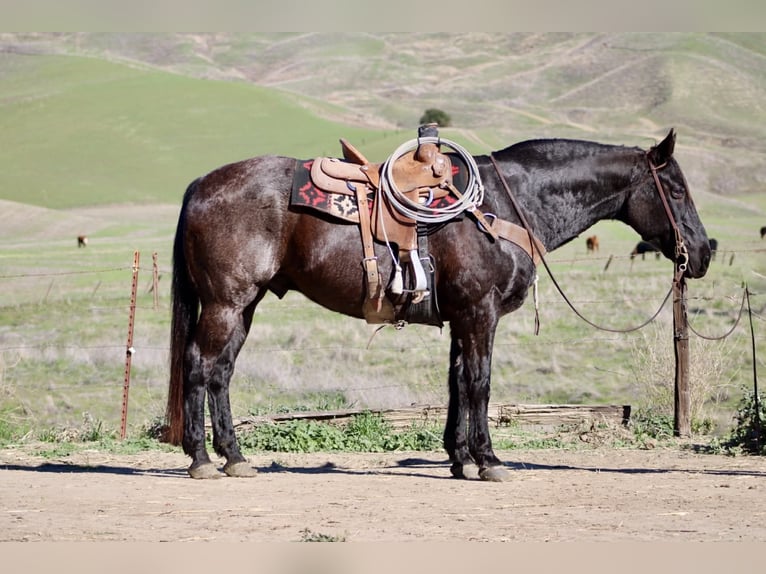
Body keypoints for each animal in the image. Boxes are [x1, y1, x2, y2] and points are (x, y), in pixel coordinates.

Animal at [163, 128, 711, 481]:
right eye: (675, 189)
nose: (703, 252)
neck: (504, 205)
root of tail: (200, 185)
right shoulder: (480, 312)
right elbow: (480, 383)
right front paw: (489, 461)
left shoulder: (461, 316)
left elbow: (457, 383)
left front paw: (458, 458)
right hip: (226, 302)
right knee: (200, 366)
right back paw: (202, 460)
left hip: (243, 306)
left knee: (221, 372)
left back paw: (234, 457)